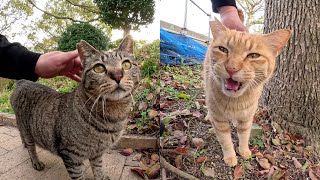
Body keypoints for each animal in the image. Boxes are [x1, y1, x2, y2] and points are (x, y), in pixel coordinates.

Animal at [10, 34, 139, 179]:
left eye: (126, 64)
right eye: (99, 68)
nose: (117, 75)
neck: (115, 115)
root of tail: (22, 81)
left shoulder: (97, 153)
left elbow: (98, 168)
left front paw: (101, 176)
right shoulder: (71, 156)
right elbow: (79, 176)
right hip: (26, 128)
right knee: (31, 146)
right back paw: (36, 161)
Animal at [204, 19, 292, 167]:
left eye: (253, 55)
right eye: (223, 49)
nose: (231, 68)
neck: (235, 101)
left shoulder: (246, 118)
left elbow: (244, 136)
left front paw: (244, 151)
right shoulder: (219, 120)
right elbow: (225, 140)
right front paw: (230, 157)